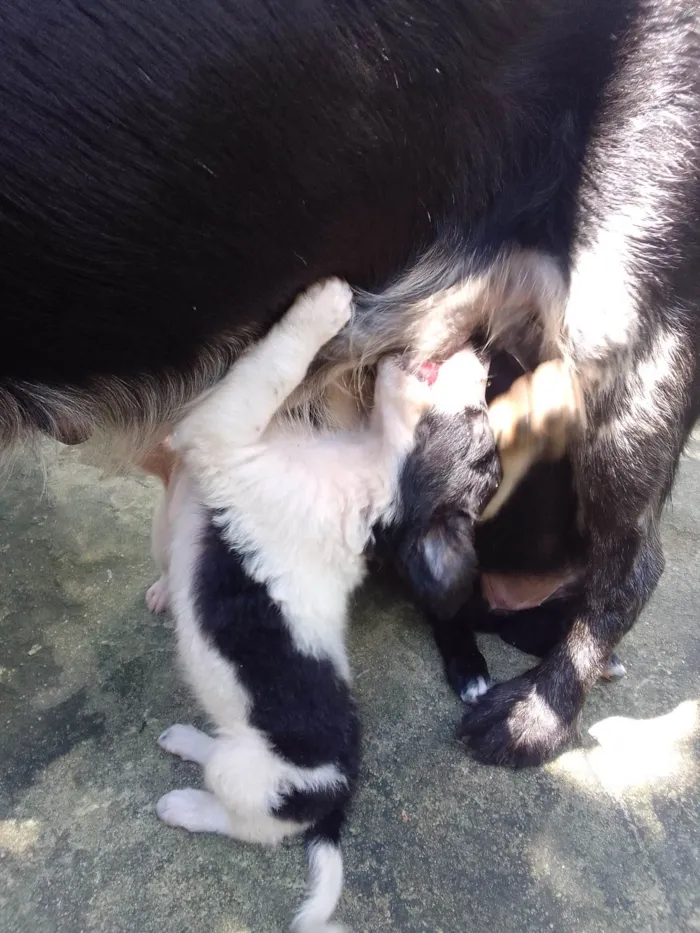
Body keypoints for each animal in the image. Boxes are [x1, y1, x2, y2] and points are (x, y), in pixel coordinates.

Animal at [146, 278, 492, 932]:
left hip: (251, 778)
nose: (484, 348)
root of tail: (340, 792)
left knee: (249, 824)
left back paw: (187, 806)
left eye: (477, 421)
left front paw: (322, 306)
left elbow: (273, 369)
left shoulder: (224, 435)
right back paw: (187, 741)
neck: (372, 480)